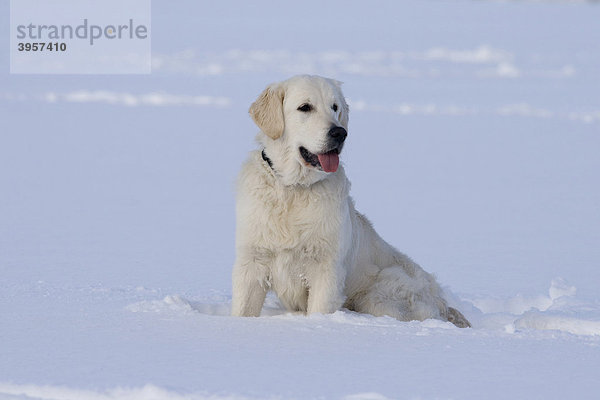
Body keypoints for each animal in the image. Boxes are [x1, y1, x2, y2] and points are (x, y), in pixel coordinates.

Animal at [232, 75, 472, 328]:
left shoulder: (326, 269)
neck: (294, 189)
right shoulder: (252, 261)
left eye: (335, 107)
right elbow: (243, 309)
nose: (339, 133)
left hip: (379, 294)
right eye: (305, 107)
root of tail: (441, 301)